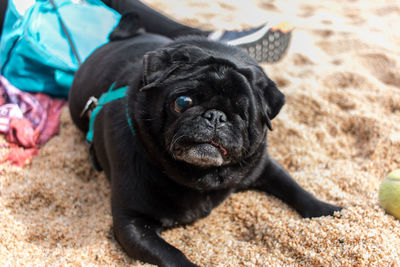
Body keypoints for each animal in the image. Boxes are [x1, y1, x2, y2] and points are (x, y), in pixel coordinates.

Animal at [68, 14, 340, 267]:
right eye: (182, 102)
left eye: (243, 113)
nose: (216, 116)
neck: (200, 177)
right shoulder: (132, 222)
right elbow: (172, 254)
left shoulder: (264, 166)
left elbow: (295, 188)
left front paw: (330, 211)